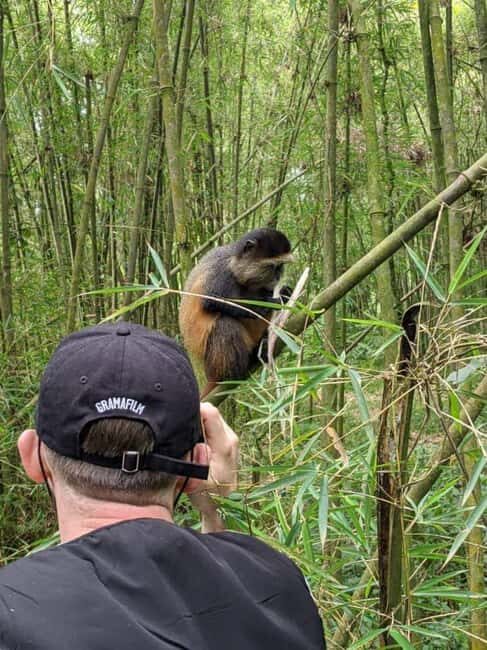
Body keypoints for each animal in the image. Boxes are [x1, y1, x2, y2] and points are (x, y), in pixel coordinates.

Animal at [179, 228, 294, 397]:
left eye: (281, 267)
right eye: (273, 267)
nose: (278, 276)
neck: (235, 264)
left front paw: (285, 294)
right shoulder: (221, 271)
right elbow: (211, 301)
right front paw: (274, 301)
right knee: (225, 323)